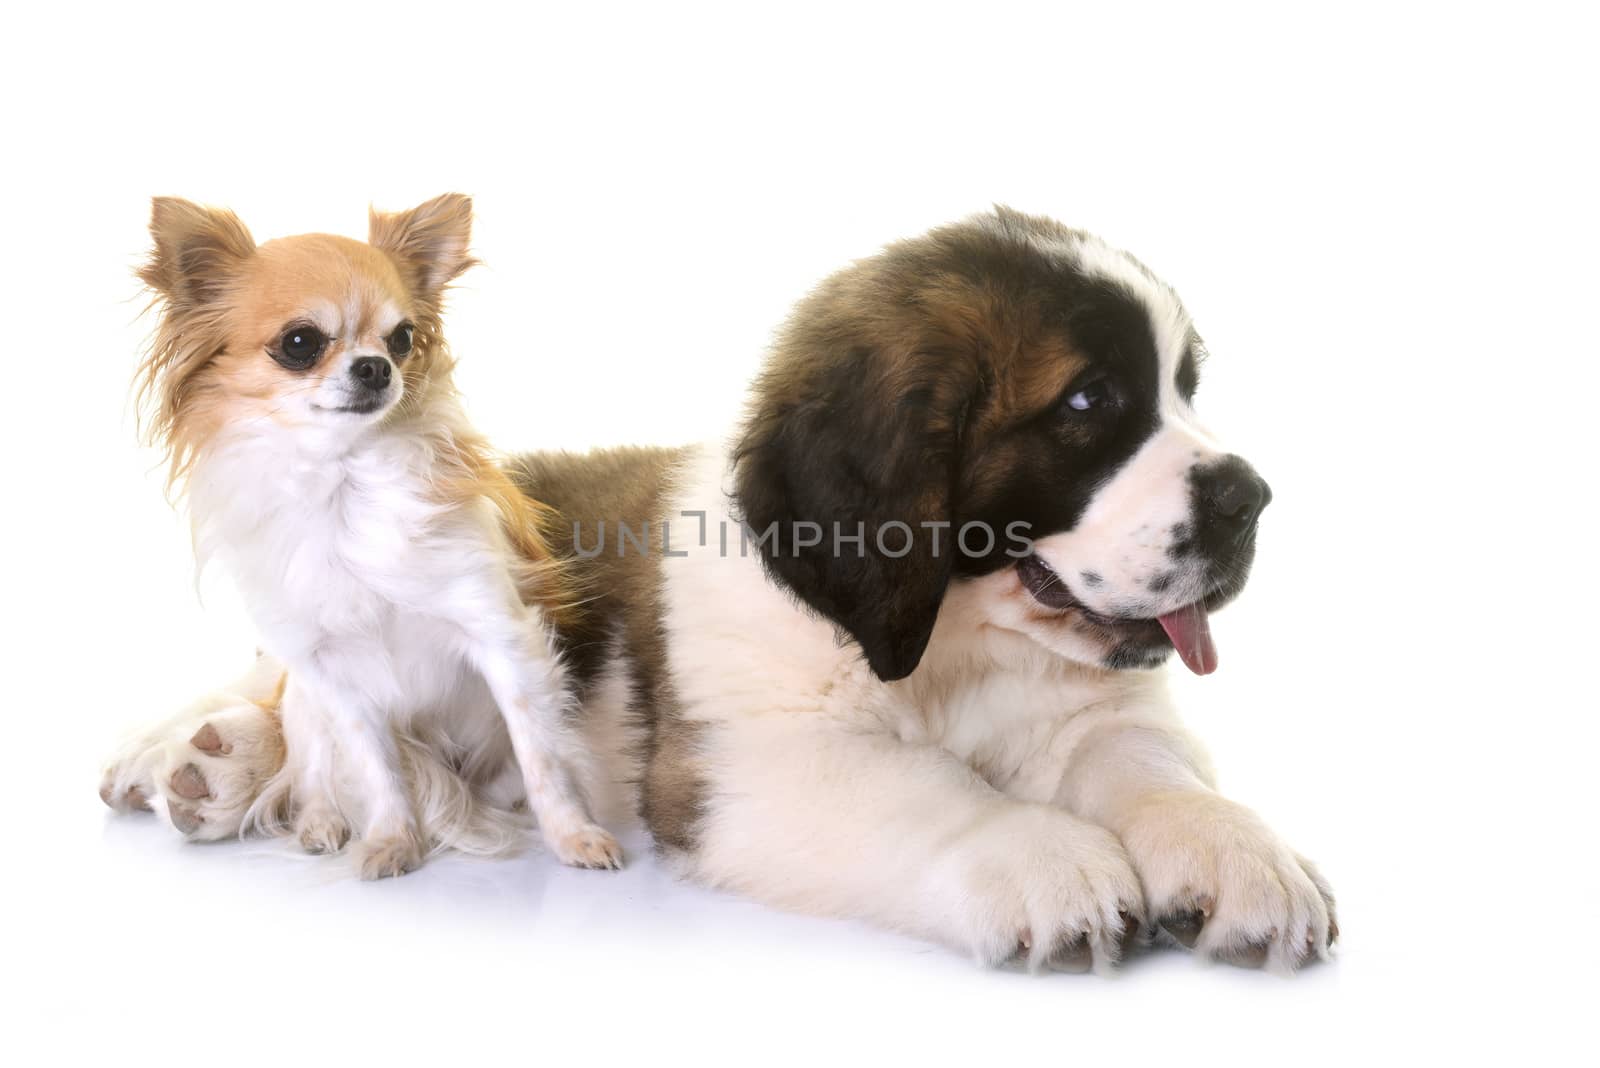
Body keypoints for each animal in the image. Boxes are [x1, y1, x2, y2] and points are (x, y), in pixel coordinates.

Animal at [103, 207, 1337, 978]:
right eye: (1088, 405)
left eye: (1183, 389)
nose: (1251, 499)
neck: (952, 645)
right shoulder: (746, 767)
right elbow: (929, 793)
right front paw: (1045, 862)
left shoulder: (1089, 713)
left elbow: (1145, 767)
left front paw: (1236, 851)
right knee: (281, 685)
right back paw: (200, 759)